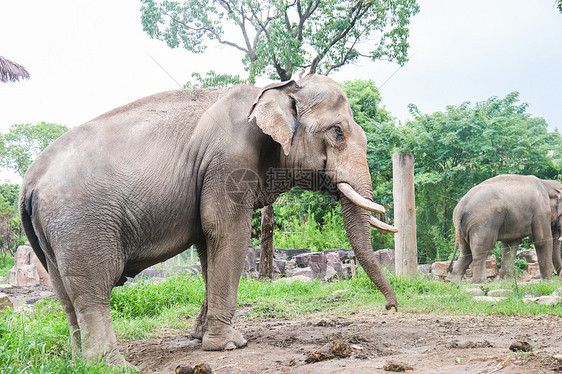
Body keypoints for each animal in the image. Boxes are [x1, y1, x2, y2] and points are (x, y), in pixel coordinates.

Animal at [19, 75, 398, 366]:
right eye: (337, 132)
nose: (391, 307)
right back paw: (113, 366)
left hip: (51, 234)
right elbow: (227, 231)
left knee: (65, 293)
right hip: (83, 224)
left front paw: (199, 335)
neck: (278, 88)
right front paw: (229, 344)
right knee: (93, 289)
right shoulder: (228, 162)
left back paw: (80, 362)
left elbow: (207, 242)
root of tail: (28, 184)